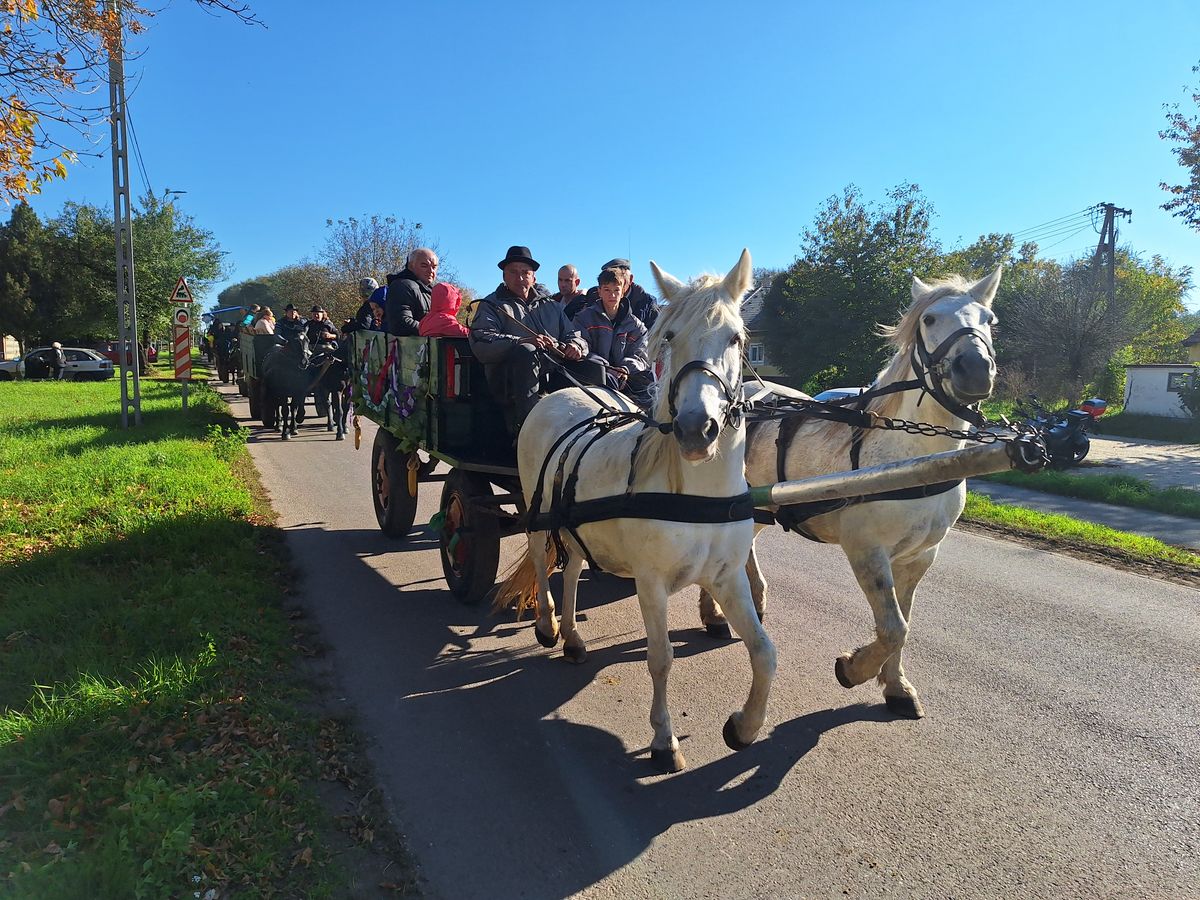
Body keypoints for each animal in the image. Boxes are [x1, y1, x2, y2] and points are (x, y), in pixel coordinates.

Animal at [496, 248, 777, 777]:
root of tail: (560, 393)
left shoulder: (726, 576)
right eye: (669, 336)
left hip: (577, 525)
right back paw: (547, 625)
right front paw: (664, 741)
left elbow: (764, 652)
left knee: (573, 568)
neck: (696, 494)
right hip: (538, 512)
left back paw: (573, 639)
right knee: (542, 560)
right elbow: (661, 657)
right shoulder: (651, 583)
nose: (696, 429)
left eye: (735, 337)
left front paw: (744, 727)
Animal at [700, 267, 1003, 720]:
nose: (976, 369)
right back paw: (714, 612)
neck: (913, 459)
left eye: (989, 319)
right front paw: (854, 668)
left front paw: (896, 686)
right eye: (929, 319)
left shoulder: (920, 557)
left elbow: (904, 623)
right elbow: (894, 627)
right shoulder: (866, 550)